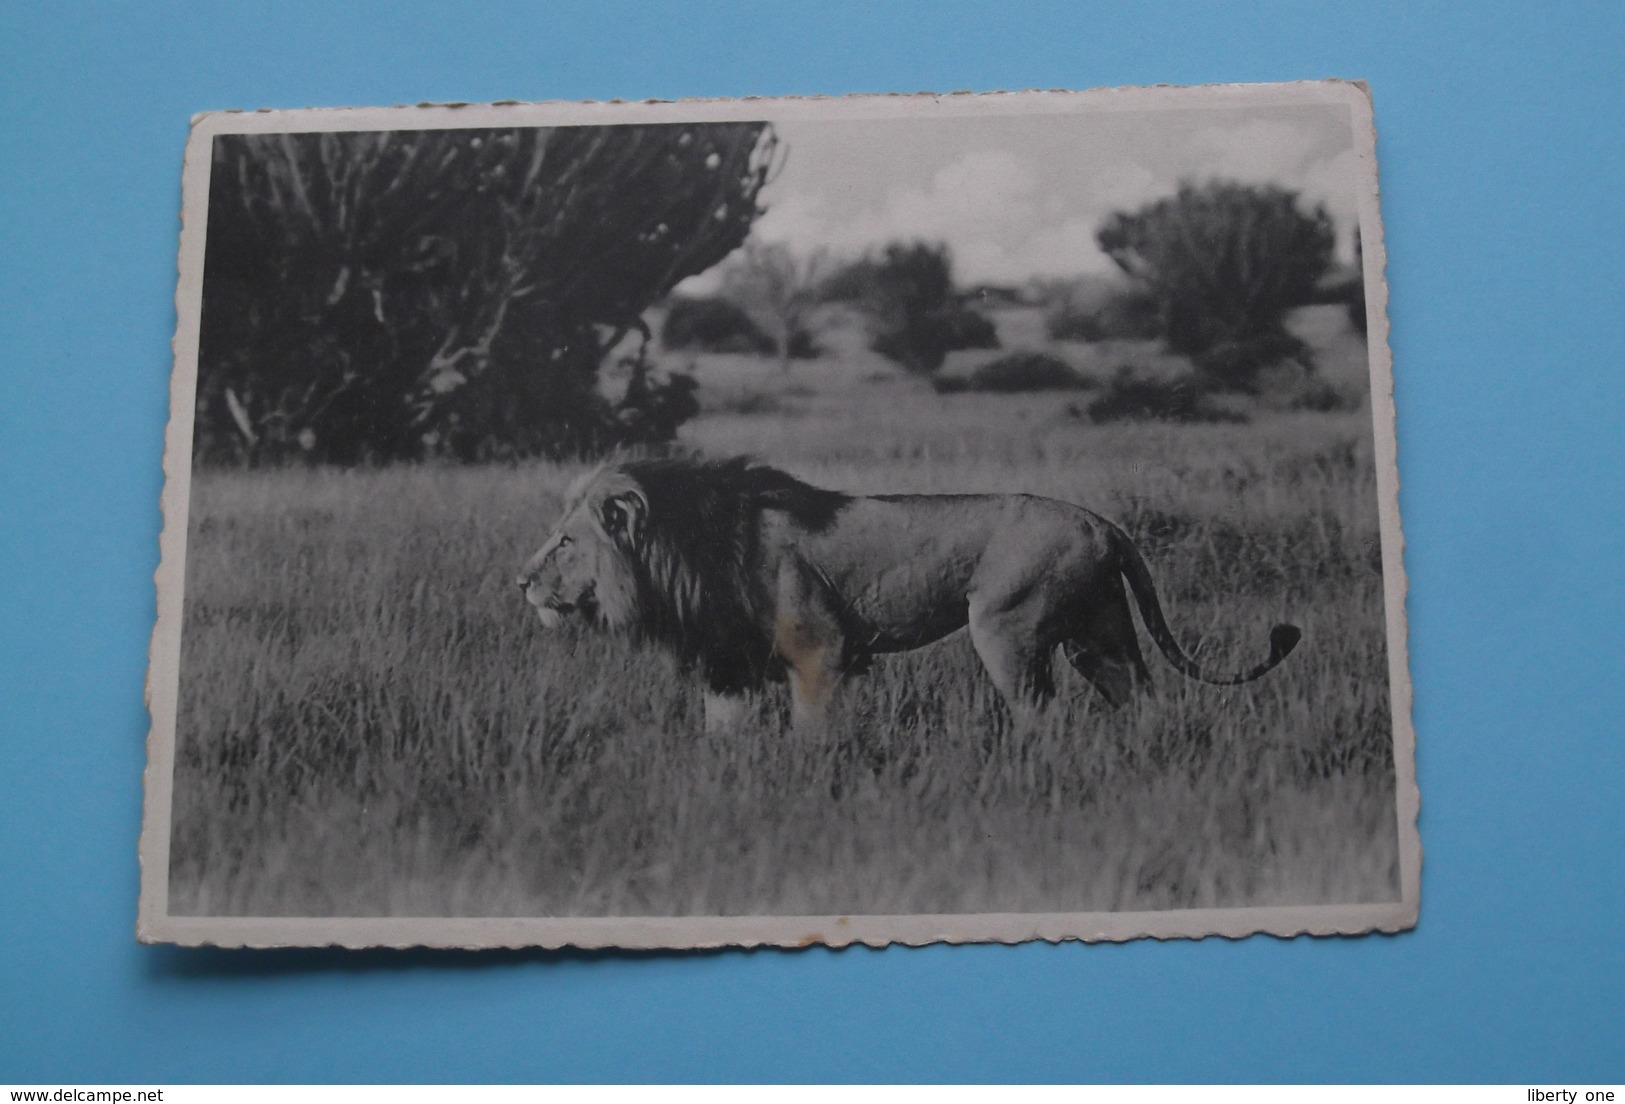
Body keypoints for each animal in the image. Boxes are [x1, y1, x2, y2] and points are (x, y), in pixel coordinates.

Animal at [520, 458, 1306, 734]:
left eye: (564, 542)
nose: (518, 581)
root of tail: (1103, 522)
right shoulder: (729, 662)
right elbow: (723, 736)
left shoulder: (821, 650)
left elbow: (813, 733)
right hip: (1100, 636)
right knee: (1142, 698)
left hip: (1006, 630)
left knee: (1040, 715)